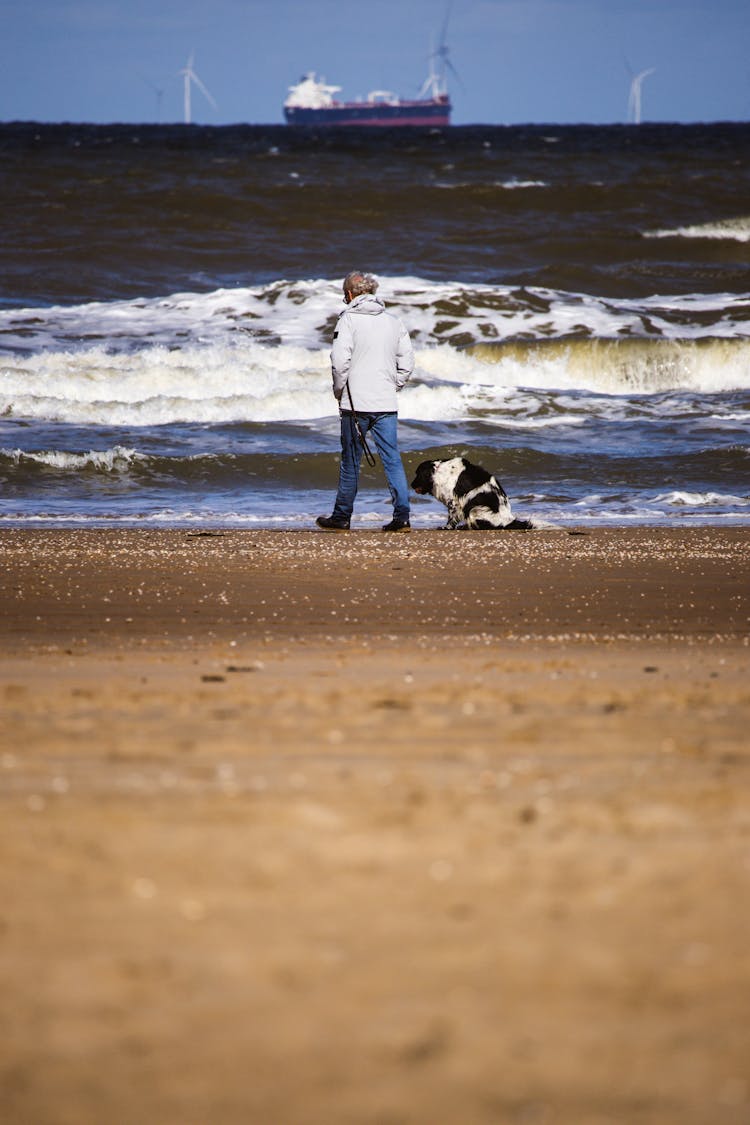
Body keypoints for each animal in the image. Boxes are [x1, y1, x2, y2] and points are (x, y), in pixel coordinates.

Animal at [411, 452, 546, 531]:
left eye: (417, 474)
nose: (411, 485)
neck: (438, 471)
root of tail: (508, 521)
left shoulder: (454, 502)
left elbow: (451, 517)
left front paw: (446, 527)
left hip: (474, 509)